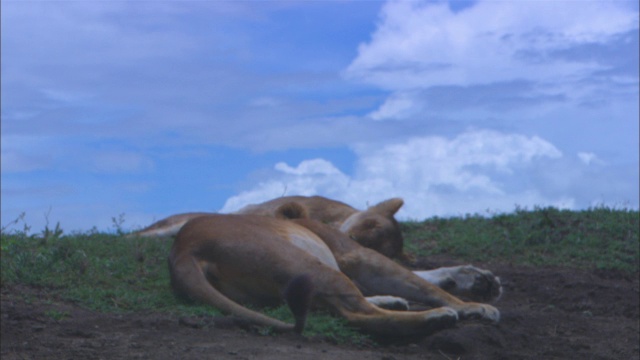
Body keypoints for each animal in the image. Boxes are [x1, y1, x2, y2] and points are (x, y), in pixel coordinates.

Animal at [170, 210, 500, 336]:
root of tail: (184, 248)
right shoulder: (359, 256)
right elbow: (422, 283)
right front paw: (475, 304)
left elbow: (422, 278)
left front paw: (478, 280)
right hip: (306, 264)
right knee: (356, 314)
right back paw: (435, 316)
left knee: (345, 304)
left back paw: (394, 302)